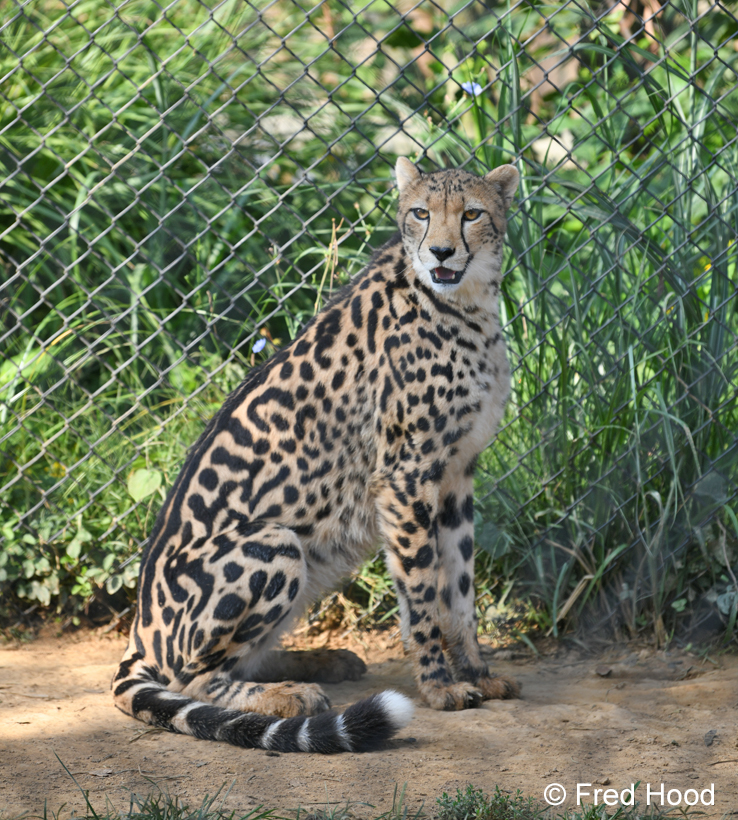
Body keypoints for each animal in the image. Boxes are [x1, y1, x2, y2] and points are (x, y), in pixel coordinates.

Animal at [112, 157, 521, 754]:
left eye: (471, 213)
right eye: (421, 213)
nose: (441, 253)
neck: (462, 301)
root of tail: (140, 631)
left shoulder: (456, 474)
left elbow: (460, 590)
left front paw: (477, 674)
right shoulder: (405, 478)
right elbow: (423, 590)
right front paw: (440, 686)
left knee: (240, 660)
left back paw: (320, 662)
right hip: (276, 544)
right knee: (194, 677)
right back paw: (288, 696)